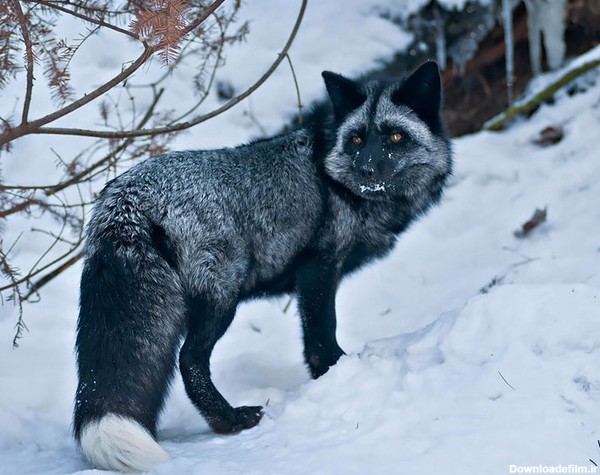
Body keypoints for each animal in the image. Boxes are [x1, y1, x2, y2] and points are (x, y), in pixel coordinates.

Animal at [74, 62, 450, 472]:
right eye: (356, 140)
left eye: (395, 136)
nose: (366, 168)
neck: (336, 179)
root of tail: (125, 199)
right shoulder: (318, 267)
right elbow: (321, 336)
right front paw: (336, 372)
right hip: (222, 296)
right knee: (189, 360)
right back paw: (232, 420)